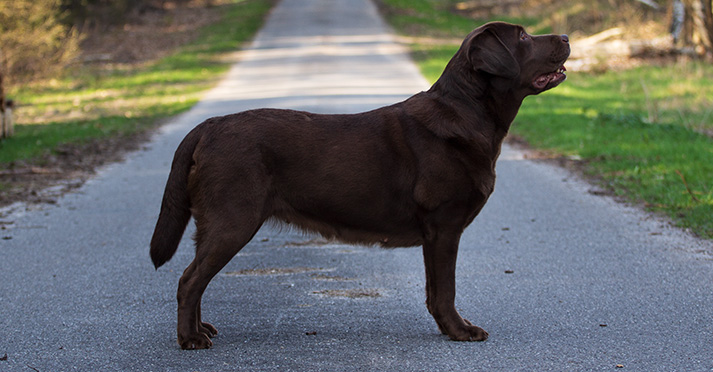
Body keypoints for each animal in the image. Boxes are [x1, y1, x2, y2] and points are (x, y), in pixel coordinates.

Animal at [152, 22, 572, 348]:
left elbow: (434, 290)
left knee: (196, 276)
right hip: (234, 219)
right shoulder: (444, 226)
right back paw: (190, 339)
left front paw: (449, 328)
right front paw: (460, 331)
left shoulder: (436, 233)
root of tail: (207, 126)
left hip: (215, 222)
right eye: (522, 36)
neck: (469, 112)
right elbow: (446, 290)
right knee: (190, 280)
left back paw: (201, 329)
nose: (568, 36)